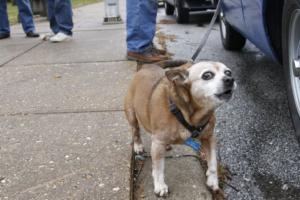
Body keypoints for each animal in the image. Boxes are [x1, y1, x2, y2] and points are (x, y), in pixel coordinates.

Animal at [123, 60, 234, 196]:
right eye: (207, 75)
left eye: (228, 72)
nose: (230, 79)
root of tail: (147, 66)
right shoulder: (158, 142)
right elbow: (158, 168)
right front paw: (160, 185)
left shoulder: (209, 138)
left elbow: (213, 162)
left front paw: (213, 181)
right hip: (132, 115)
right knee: (136, 131)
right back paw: (138, 146)